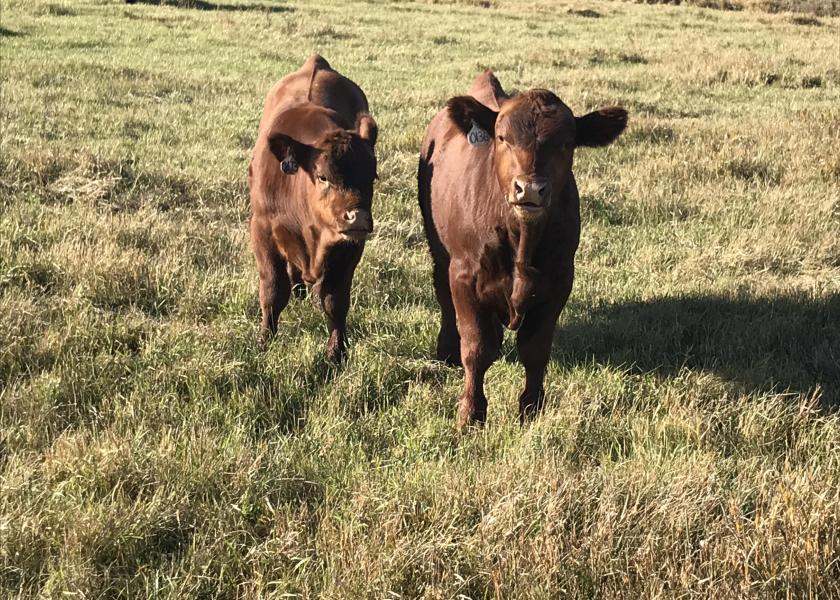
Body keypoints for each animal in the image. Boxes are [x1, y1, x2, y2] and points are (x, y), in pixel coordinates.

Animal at [249, 55, 378, 360]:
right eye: (322, 177)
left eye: (372, 176)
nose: (357, 217)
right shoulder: (262, 230)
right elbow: (272, 291)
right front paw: (264, 341)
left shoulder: (350, 246)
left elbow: (335, 301)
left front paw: (336, 352)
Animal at [416, 70, 628, 426]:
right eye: (502, 138)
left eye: (566, 143)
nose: (529, 189)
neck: (521, 241)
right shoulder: (463, 276)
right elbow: (476, 348)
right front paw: (471, 412)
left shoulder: (559, 281)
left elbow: (535, 349)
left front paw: (531, 408)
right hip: (439, 249)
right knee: (442, 294)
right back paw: (446, 350)